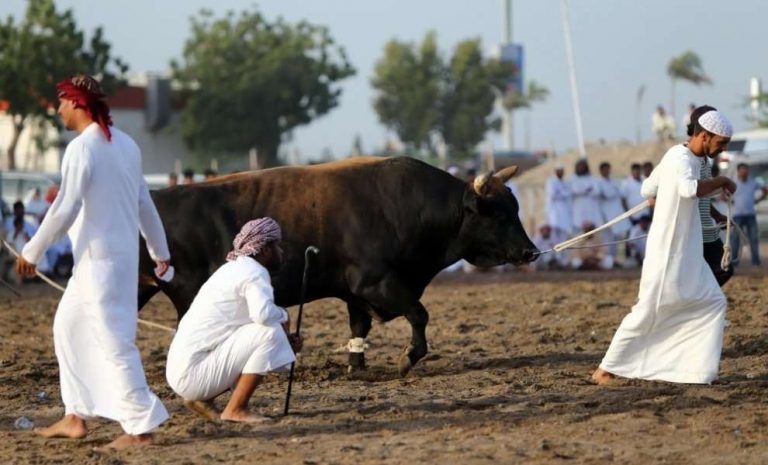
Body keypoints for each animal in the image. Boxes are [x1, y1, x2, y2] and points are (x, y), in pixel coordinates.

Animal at [141, 158, 540, 376]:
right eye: (497, 213)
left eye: (515, 207)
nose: (531, 252)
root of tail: (155, 198)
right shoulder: (376, 282)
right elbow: (418, 313)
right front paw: (408, 357)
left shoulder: (356, 292)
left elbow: (359, 326)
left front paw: (356, 365)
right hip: (190, 296)